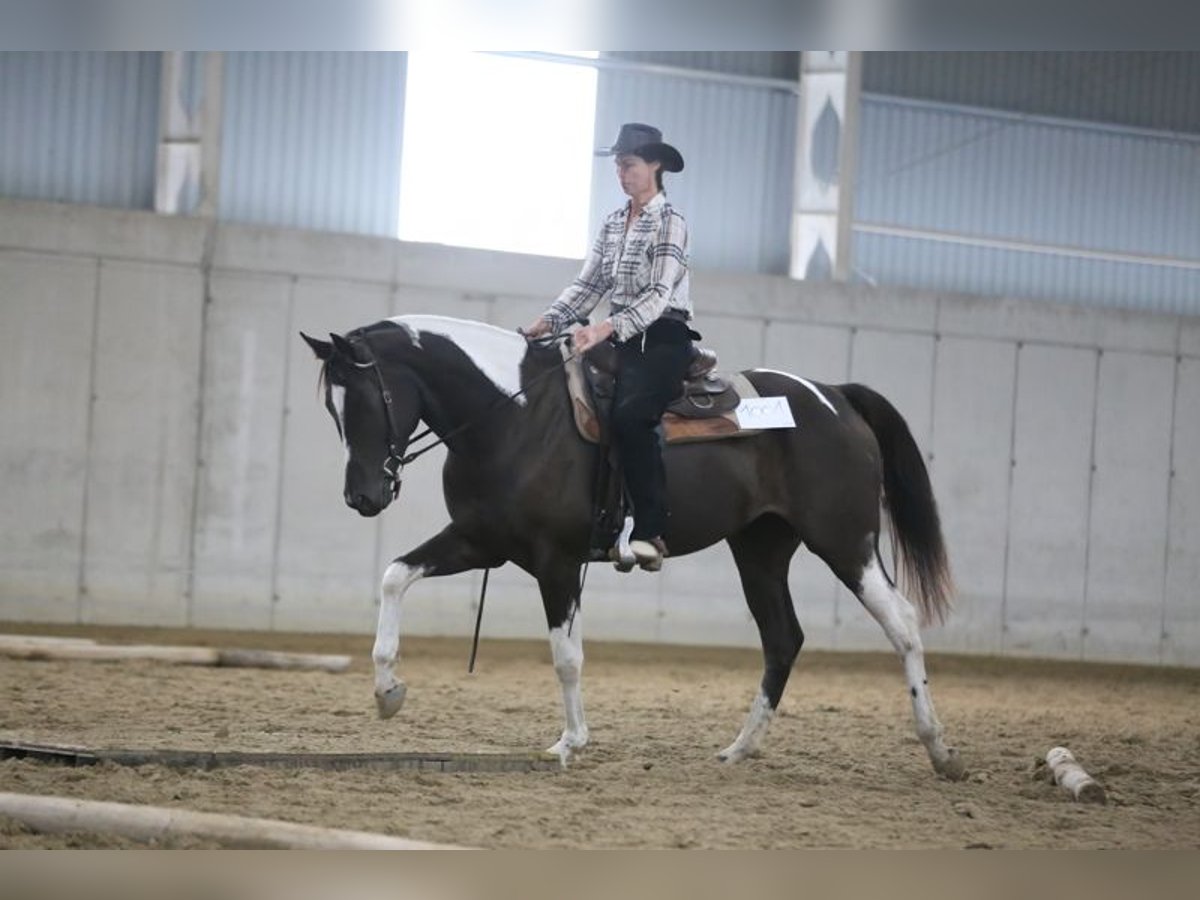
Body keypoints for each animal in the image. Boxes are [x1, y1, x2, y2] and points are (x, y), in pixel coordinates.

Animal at [300, 314, 964, 777]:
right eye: (330, 408)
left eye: (366, 400)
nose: (363, 496)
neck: (514, 417)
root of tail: (836, 396)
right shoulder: (478, 542)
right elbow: (394, 575)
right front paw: (388, 692)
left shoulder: (556, 560)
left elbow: (566, 656)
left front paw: (569, 742)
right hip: (760, 549)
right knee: (783, 640)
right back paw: (738, 750)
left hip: (846, 541)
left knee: (902, 624)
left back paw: (940, 751)